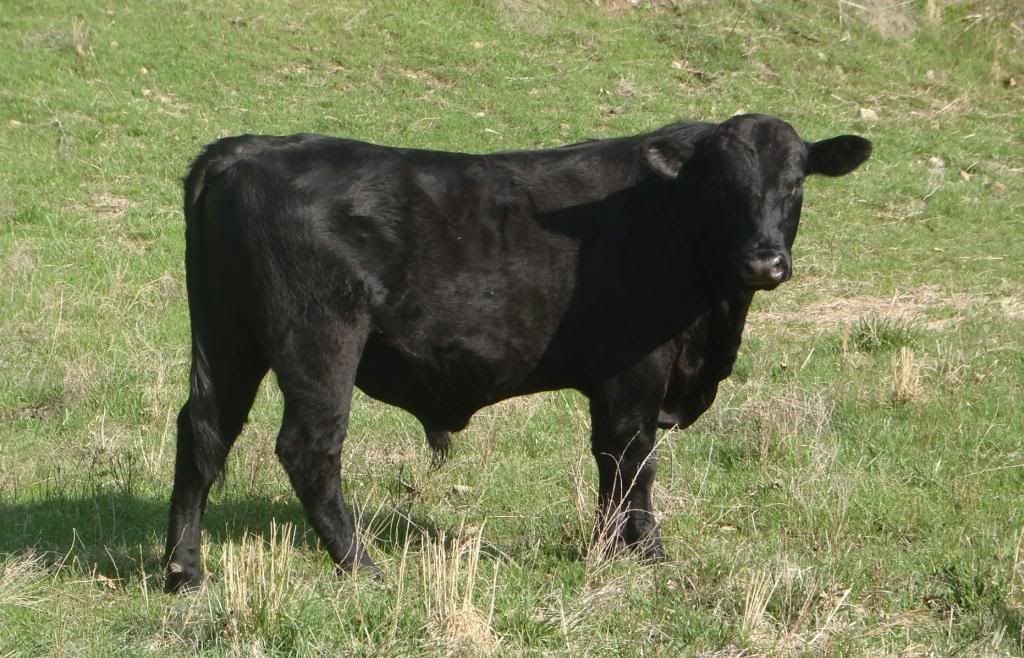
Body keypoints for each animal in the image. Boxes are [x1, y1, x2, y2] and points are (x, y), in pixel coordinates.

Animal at [164, 114, 871, 592]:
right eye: (723, 187)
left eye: (796, 184)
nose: (764, 262)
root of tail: (248, 148)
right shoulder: (632, 372)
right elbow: (631, 460)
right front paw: (641, 553)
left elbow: (620, 463)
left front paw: (619, 550)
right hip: (319, 337)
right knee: (308, 448)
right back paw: (362, 565)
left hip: (227, 336)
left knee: (204, 432)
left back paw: (184, 570)